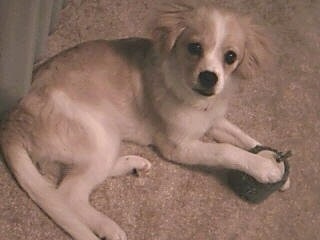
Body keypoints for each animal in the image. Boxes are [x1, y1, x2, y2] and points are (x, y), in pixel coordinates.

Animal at [1, 1, 286, 240]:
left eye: (230, 57)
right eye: (194, 47)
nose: (209, 78)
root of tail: (12, 122)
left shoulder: (211, 120)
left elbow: (244, 137)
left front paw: (274, 161)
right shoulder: (178, 146)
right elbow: (226, 150)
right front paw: (264, 168)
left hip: (105, 140)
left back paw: (133, 164)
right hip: (99, 134)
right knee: (69, 195)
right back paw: (108, 227)